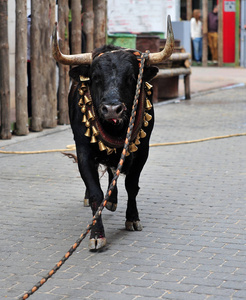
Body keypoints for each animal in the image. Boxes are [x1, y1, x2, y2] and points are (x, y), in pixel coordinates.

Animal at [18, 51, 149, 300]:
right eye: (96, 78)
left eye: (131, 78)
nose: (112, 109)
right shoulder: (83, 153)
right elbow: (97, 193)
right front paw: (97, 236)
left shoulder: (142, 150)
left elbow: (132, 185)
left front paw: (132, 218)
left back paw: (113, 201)